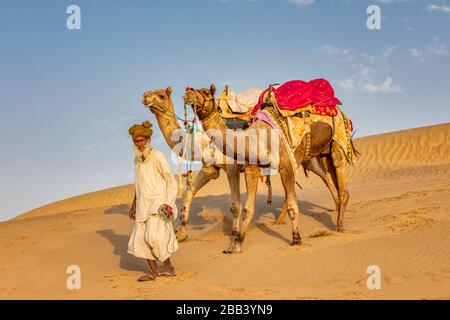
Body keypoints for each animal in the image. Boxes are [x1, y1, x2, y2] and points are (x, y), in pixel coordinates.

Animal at [182, 84, 356, 254]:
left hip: (337, 144)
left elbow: (291, 205)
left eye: (205, 92)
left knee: (338, 179)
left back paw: (340, 225)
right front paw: (236, 245)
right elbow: (247, 208)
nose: (188, 92)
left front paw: (296, 238)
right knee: (330, 175)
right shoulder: (250, 167)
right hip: (322, 153)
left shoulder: (285, 165)